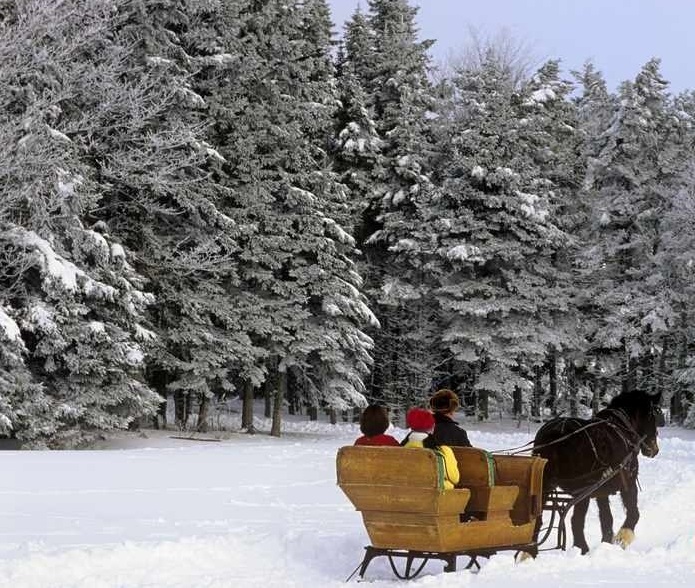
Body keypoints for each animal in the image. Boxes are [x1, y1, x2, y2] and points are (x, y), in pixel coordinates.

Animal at [532, 390, 664, 556]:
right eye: (654, 414)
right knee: (576, 521)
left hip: (546, 486)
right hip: (581, 492)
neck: (623, 429)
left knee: (536, 518)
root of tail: (555, 435)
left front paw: (607, 542)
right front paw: (622, 538)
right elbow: (633, 513)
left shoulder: (601, 492)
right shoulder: (628, 483)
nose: (654, 450)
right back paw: (582, 549)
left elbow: (607, 519)